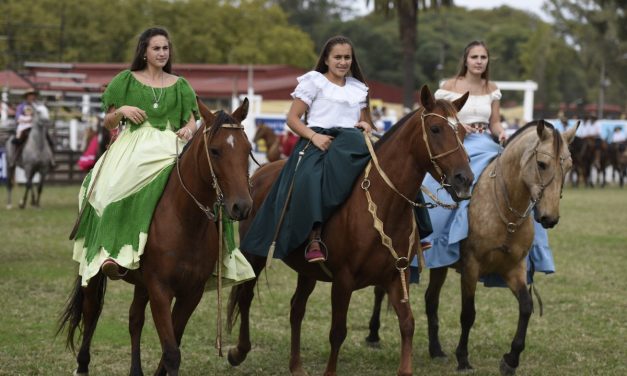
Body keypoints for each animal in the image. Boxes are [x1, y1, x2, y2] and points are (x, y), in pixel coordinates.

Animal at [57, 98, 254, 374]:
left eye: (247, 149)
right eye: (215, 151)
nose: (242, 206)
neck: (185, 221)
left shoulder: (190, 292)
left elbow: (171, 346)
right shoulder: (160, 289)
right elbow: (171, 353)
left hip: (141, 282)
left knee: (134, 319)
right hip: (93, 267)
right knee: (91, 309)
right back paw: (82, 365)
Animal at [228, 85, 474, 376]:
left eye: (463, 132)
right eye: (435, 129)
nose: (465, 180)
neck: (385, 204)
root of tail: (258, 174)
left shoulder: (396, 276)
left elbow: (407, 324)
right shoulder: (343, 281)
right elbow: (337, 332)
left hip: (307, 270)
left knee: (296, 308)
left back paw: (296, 365)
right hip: (253, 255)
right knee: (246, 297)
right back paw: (239, 352)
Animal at [366, 119, 580, 374]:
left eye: (569, 166)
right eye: (542, 164)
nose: (550, 218)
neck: (504, 208)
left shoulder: (514, 268)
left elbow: (526, 307)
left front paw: (511, 359)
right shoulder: (471, 267)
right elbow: (468, 313)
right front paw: (463, 359)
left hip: (440, 265)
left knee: (431, 300)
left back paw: (436, 350)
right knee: (381, 291)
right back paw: (373, 335)